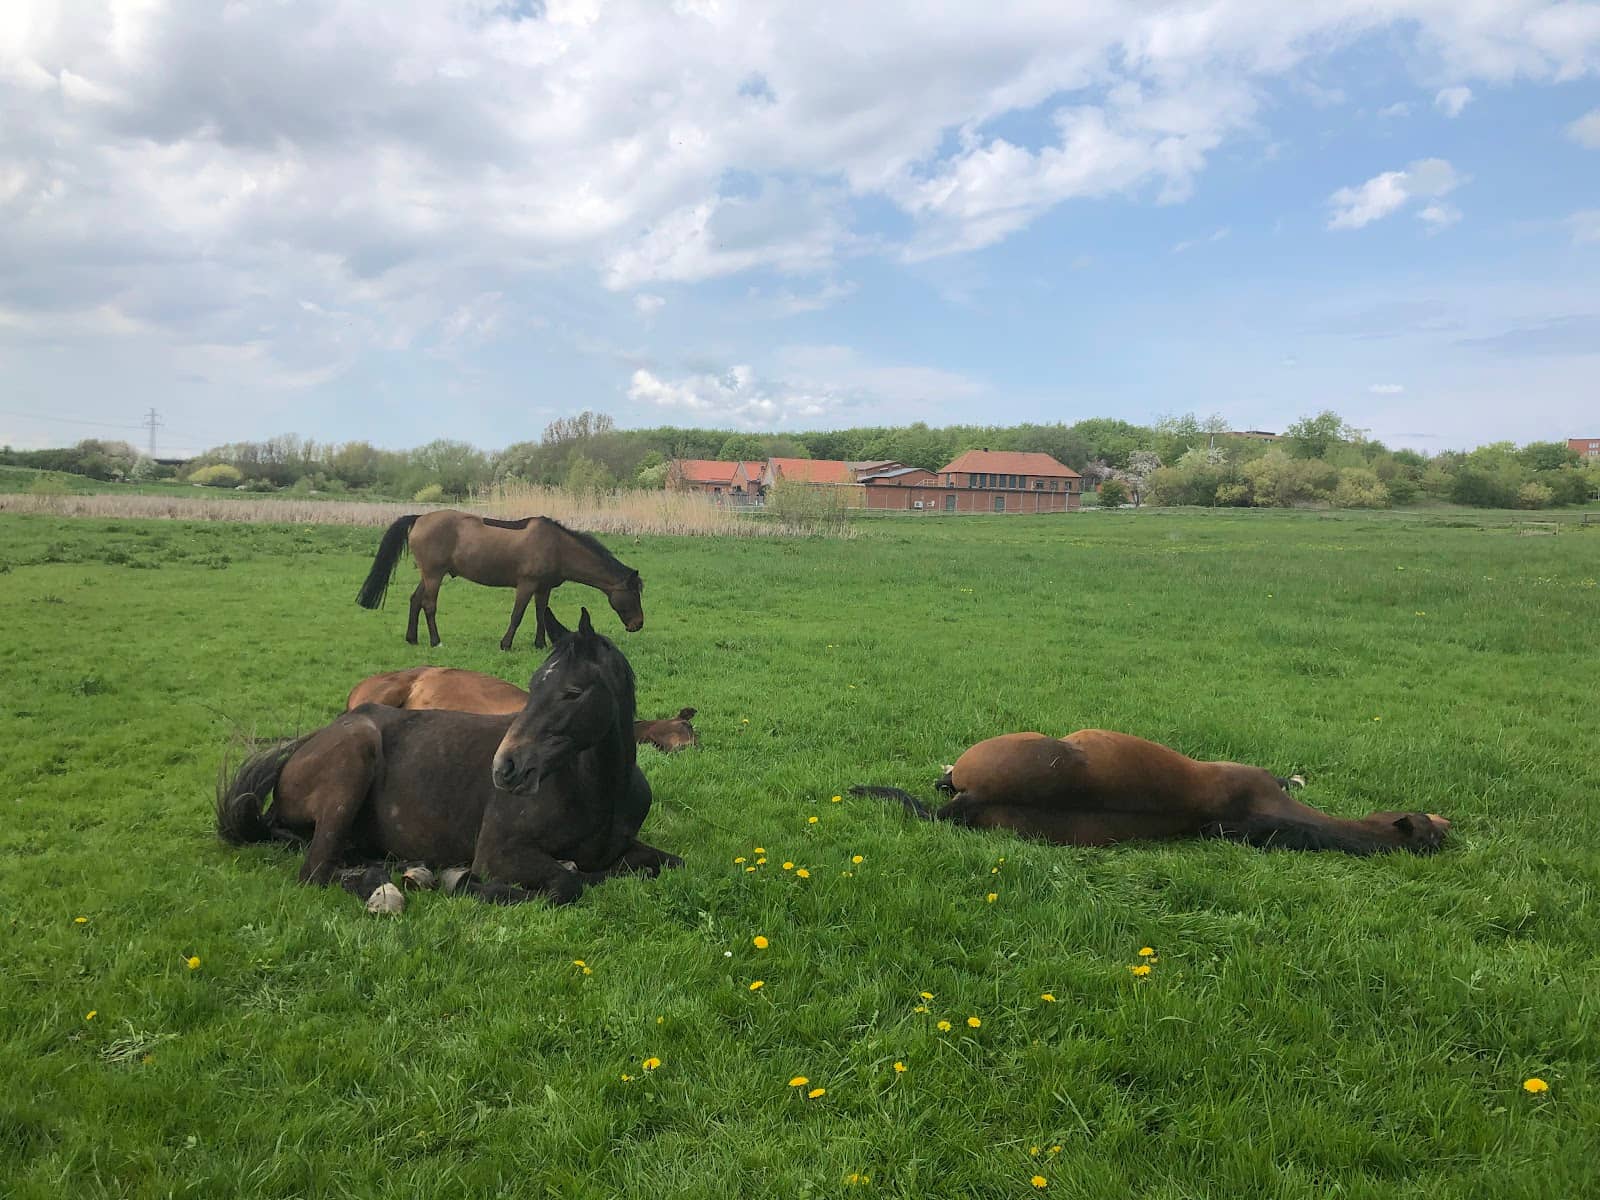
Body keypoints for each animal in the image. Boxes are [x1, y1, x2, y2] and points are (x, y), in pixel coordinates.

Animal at [216, 608, 682, 906]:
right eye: (534, 684)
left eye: (572, 691)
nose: (506, 768)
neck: (597, 792)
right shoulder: (498, 854)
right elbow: (568, 884)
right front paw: (466, 882)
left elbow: (669, 863)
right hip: (353, 762)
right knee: (317, 871)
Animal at [356, 510, 644, 650]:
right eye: (634, 594)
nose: (638, 624)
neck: (558, 546)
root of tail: (419, 518)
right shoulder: (526, 585)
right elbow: (517, 615)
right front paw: (506, 644)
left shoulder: (543, 588)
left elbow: (540, 615)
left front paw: (540, 644)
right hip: (434, 575)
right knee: (428, 605)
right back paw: (436, 641)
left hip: (428, 574)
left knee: (415, 600)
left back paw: (412, 638)